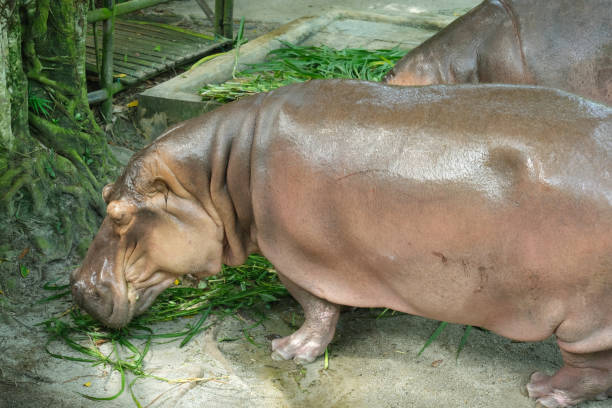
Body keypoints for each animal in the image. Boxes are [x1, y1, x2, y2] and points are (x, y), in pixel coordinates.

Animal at [73, 80, 612, 408]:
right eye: (102, 195)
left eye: (119, 215)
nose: (77, 287)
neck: (216, 173)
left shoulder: (296, 255)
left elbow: (315, 307)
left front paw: (288, 352)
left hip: (584, 319)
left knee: (589, 365)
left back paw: (544, 391)